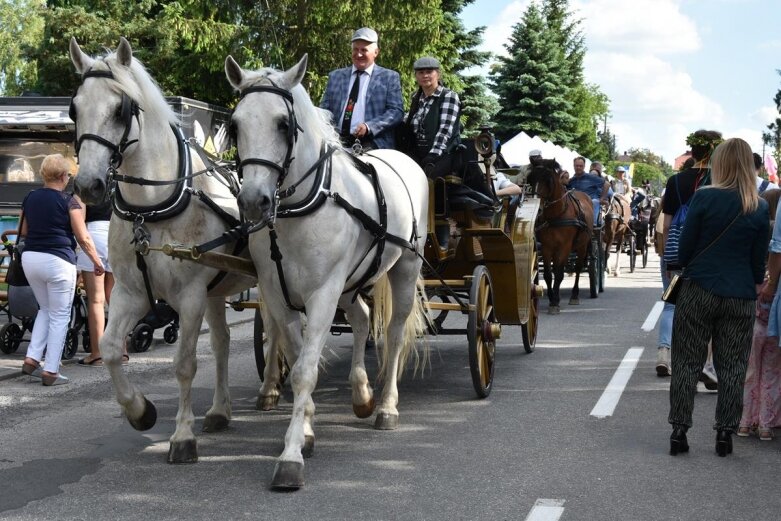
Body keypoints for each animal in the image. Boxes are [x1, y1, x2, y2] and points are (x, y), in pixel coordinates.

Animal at [68, 38, 254, 464]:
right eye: (74, 108)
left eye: (120, 109)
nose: (88, 186)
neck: (149, 211)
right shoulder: (131, 292)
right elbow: (109, 347)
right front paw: (140, 411)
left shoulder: (189, 296)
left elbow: (184, 363)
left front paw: (182, 436)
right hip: (217, 291)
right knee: (222, 343)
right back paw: (220, 411)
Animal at [227, 54, 426, 490]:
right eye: (234, 125)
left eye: (283, 125)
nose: (253, 201)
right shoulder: (278, 293)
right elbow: (297, 357)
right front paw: (305, 429)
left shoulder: (322, 294)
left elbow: (304, 371)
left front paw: (290, 457)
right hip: (351, 284)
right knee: (363, 318)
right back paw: (362, 394)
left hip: (403, 267)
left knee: (394, 333)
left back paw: (386, 407)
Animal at [528, 158, 596, 312]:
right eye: (531, 178)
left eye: (548, 180)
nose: (537, 209)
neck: (556, 214)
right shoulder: (547, 247)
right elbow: (548, 274)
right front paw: (552, 297)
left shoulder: (565, 246)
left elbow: (559, 274)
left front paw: (555, 302)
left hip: (582, 245)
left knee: (578, 268)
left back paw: (574, 295)